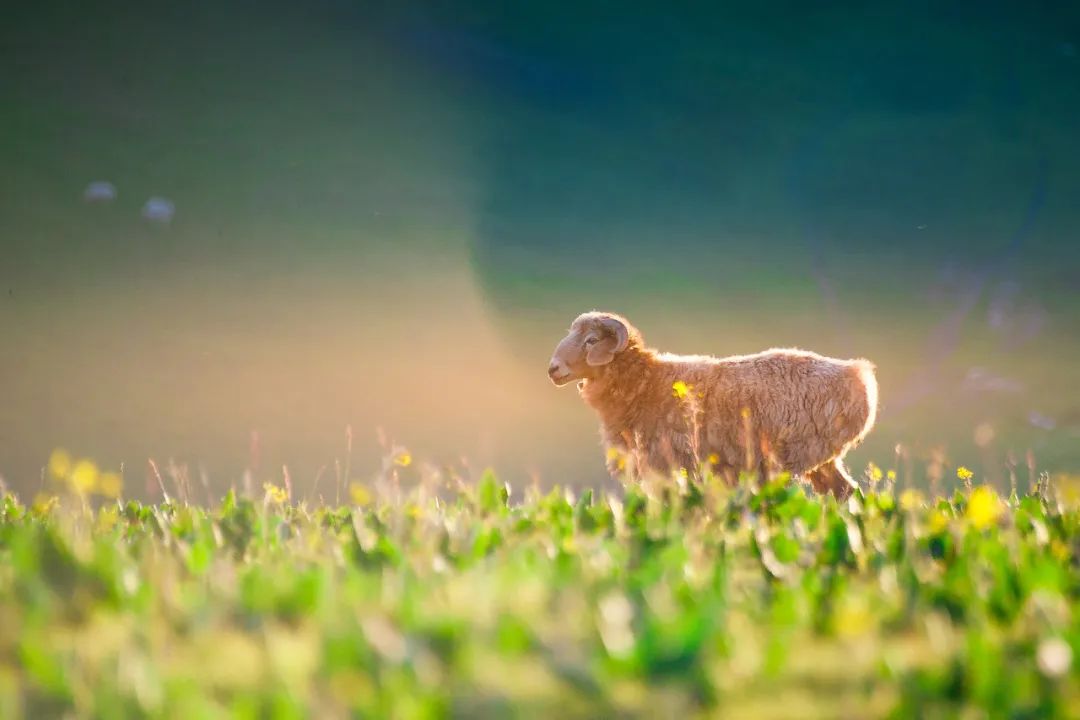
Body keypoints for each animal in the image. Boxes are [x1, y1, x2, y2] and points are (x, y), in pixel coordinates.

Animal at [548, 310, 876, 500]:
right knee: (847, 494)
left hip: (790, 460)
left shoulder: (671, 468)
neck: (645, 383)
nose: (553, 369)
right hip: (822, 462)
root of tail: (858, 374)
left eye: (591, 340)